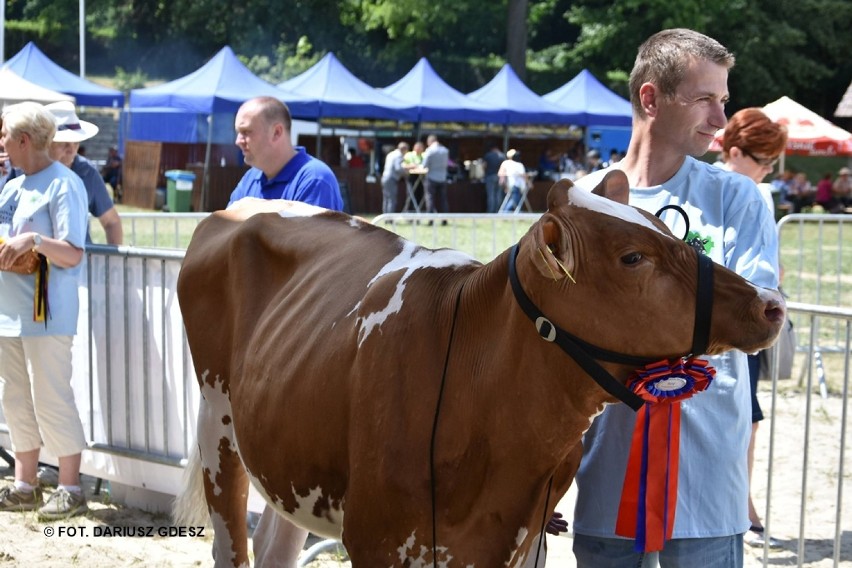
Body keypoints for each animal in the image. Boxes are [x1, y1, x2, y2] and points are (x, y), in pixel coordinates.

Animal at [173, 173, 784, 568]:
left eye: (671, 229)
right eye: (633, 257)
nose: (772, 304)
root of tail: (237, 209)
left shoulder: (518, 536)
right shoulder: (376, 538)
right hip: (217, 430)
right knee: (230, 546)